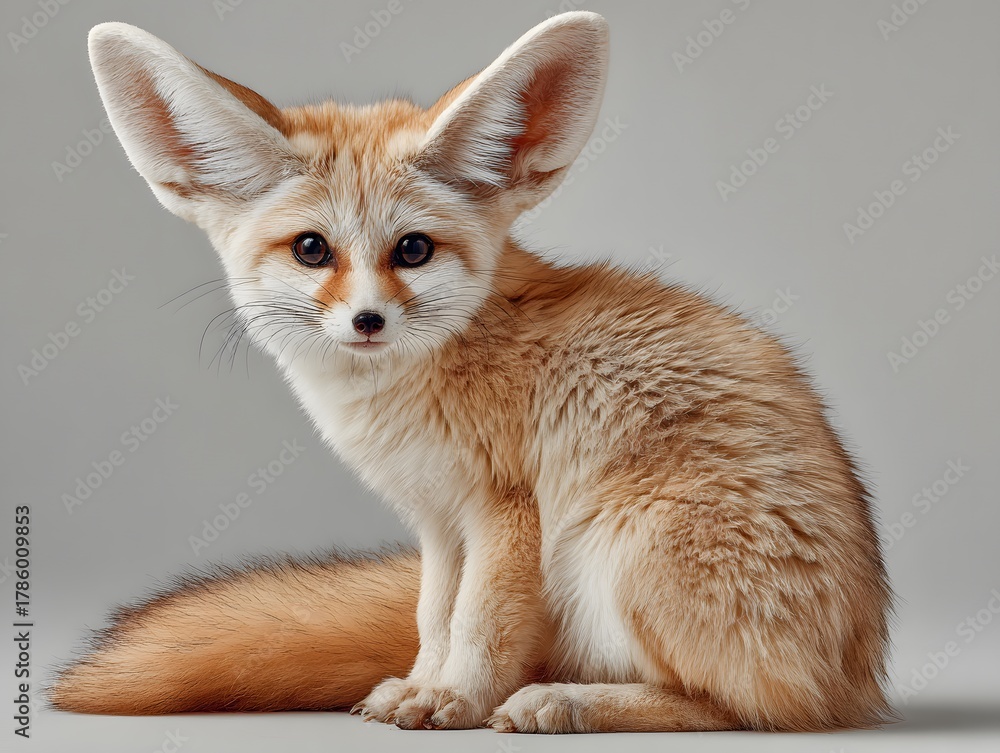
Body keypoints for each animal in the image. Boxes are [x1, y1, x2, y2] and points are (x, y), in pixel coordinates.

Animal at [50, 11, 893, 733]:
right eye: (312, 249)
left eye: (413, 250)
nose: (367, 320)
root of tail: (860, 684)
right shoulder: (438, 519)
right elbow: (435, 618)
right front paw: (424, 686)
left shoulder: (506, 509)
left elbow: (481, 622)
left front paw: (457, 698)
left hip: (623, 547)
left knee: (745, 708)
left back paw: (564, 700)